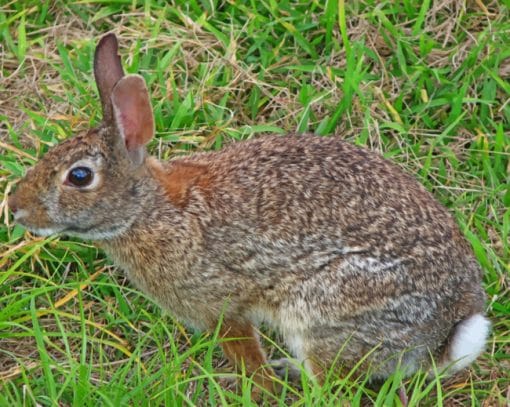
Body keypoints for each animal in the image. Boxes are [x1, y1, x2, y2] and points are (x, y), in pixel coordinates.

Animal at [7, 34, 490, 398]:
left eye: (79, 176)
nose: (15, 208)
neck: (151, 210)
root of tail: (445, 333)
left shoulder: (222, 304)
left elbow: (243, 350)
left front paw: (256, 387)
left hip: (324, 312)